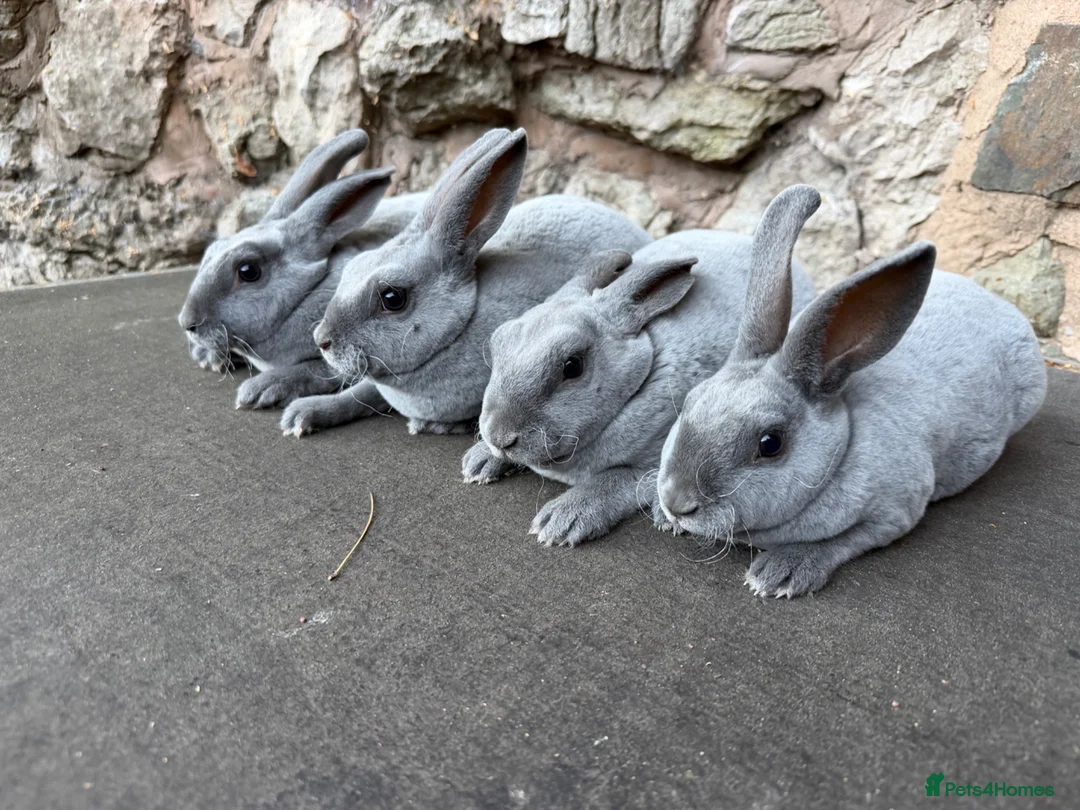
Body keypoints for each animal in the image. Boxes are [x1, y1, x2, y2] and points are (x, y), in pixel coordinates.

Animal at [178, 128, 427, 421]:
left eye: (248, 271)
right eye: (212, 249)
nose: (188, 323)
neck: (307, 293)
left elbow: (314, 370)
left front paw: (263, 388)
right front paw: (208, 356)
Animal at [298, 127, 652, 439]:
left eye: (392, 297)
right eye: (351, 268)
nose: (321, 340)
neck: (461, 326)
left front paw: (436, 427)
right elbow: (359, 393)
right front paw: (305, 414)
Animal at [463, 228, 817, 548]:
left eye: (572, 366)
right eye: (496, 343)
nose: (499, 436)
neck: (640, 381)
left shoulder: (651, 468)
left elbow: (610, 482)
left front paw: (561, 521)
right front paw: (478, 462)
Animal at [655, 184, 1047, 598]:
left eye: (770, 443)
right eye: (690, 402)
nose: (676, 503)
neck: (843, 445)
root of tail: (1004, 307)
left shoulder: (893, 513)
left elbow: (841, 541)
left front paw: (780, 573)